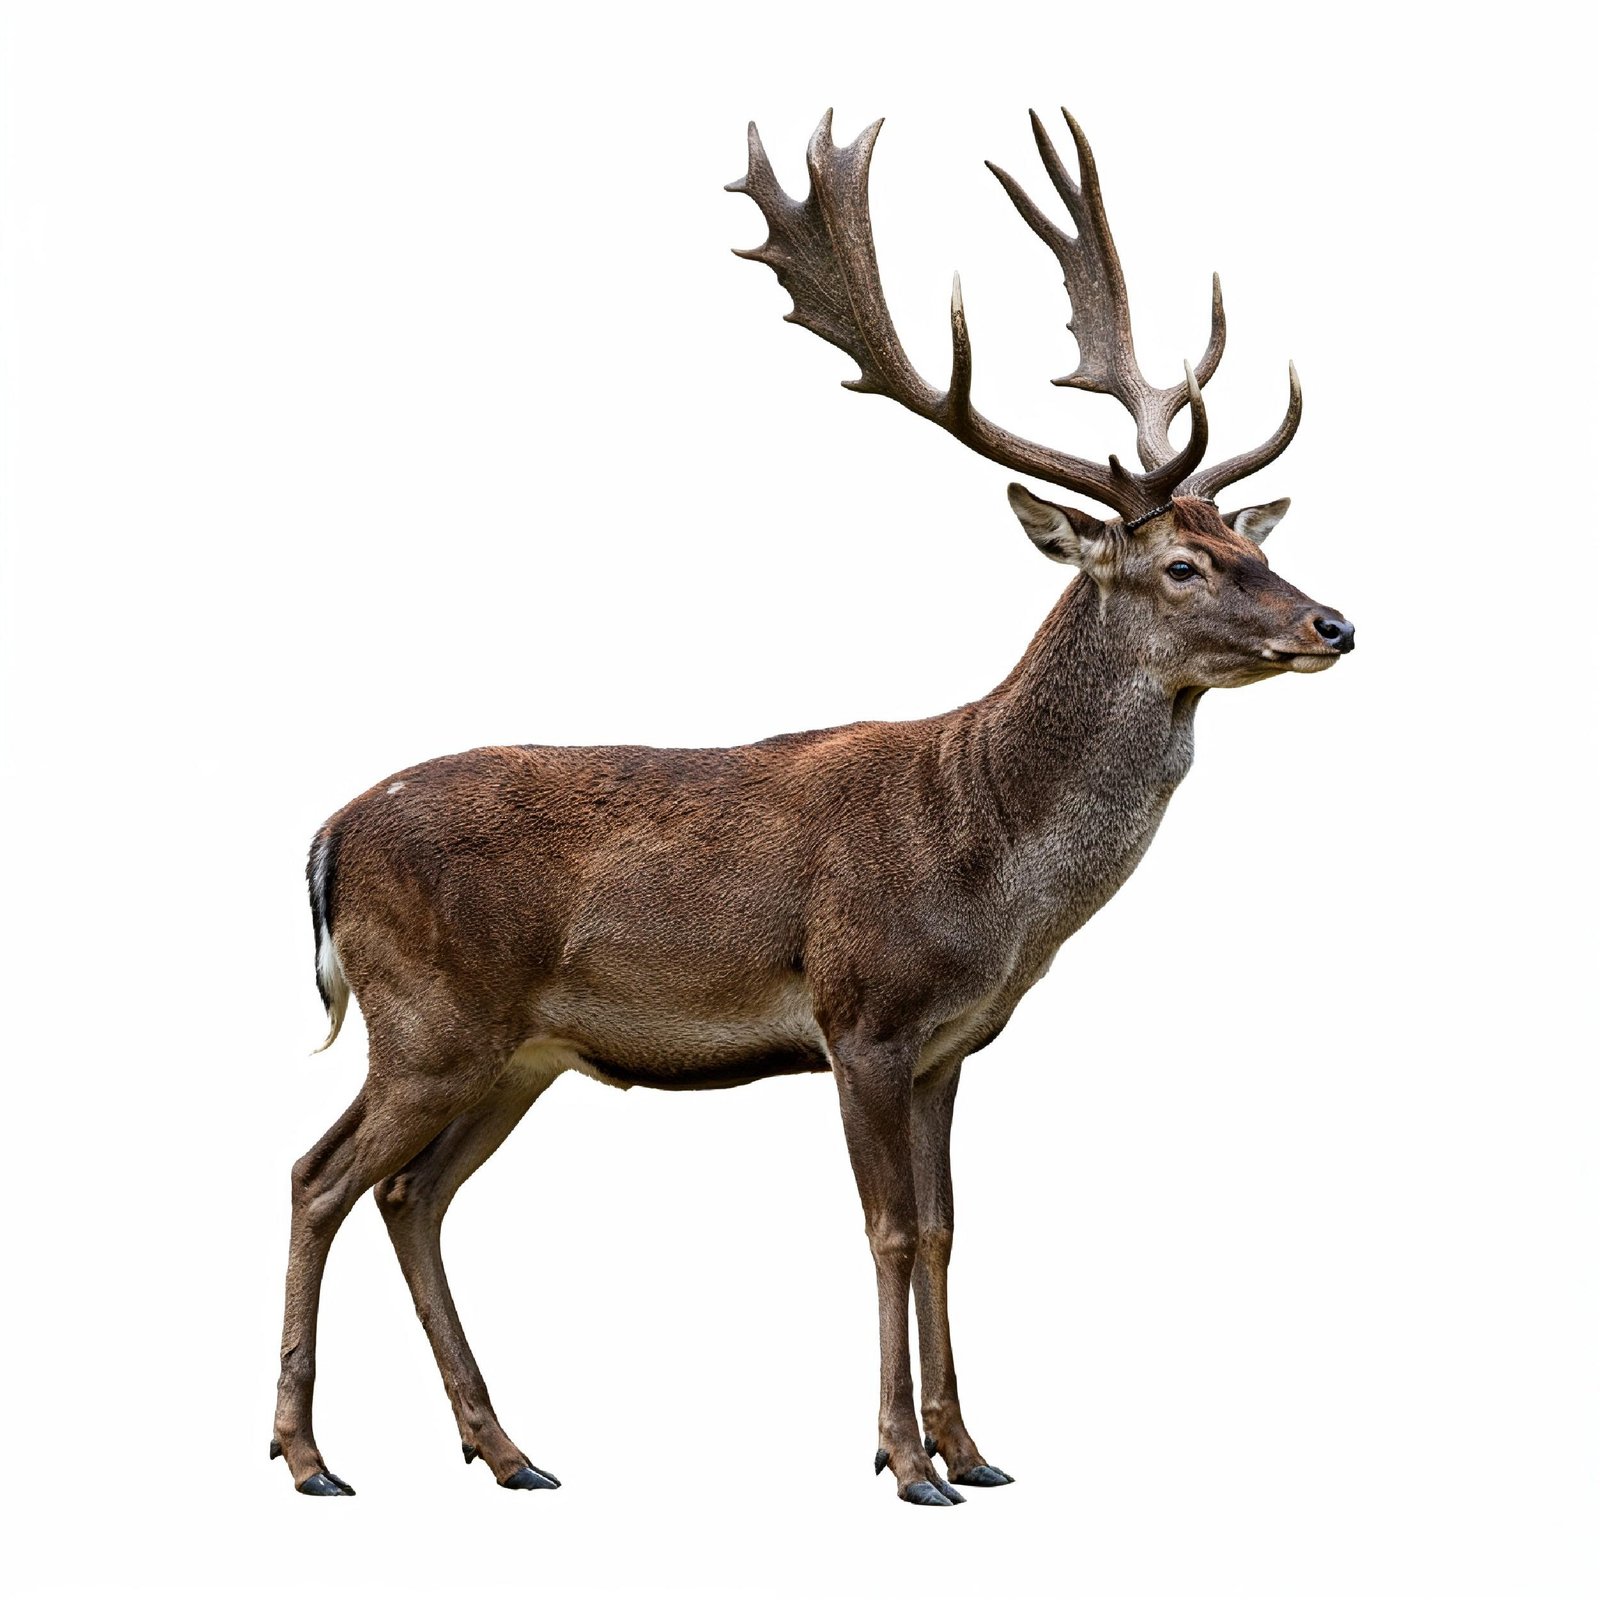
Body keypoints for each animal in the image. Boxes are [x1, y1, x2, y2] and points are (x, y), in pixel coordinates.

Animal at [271, 106, 1354, 1506]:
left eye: (1255, 544)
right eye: (1182, 565)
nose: (1333, 622)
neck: (991, 866)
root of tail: (328, 834)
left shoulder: (956, 1041)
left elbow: (945, 1228)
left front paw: (974, 1448)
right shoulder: (861, 1012)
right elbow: (886, 1228)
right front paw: (902, 1459)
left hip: (516, 1052)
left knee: (412, 1194)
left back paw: (505, 1449)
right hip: (424, 1016)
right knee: (318, 1176)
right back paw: (306, 1455)